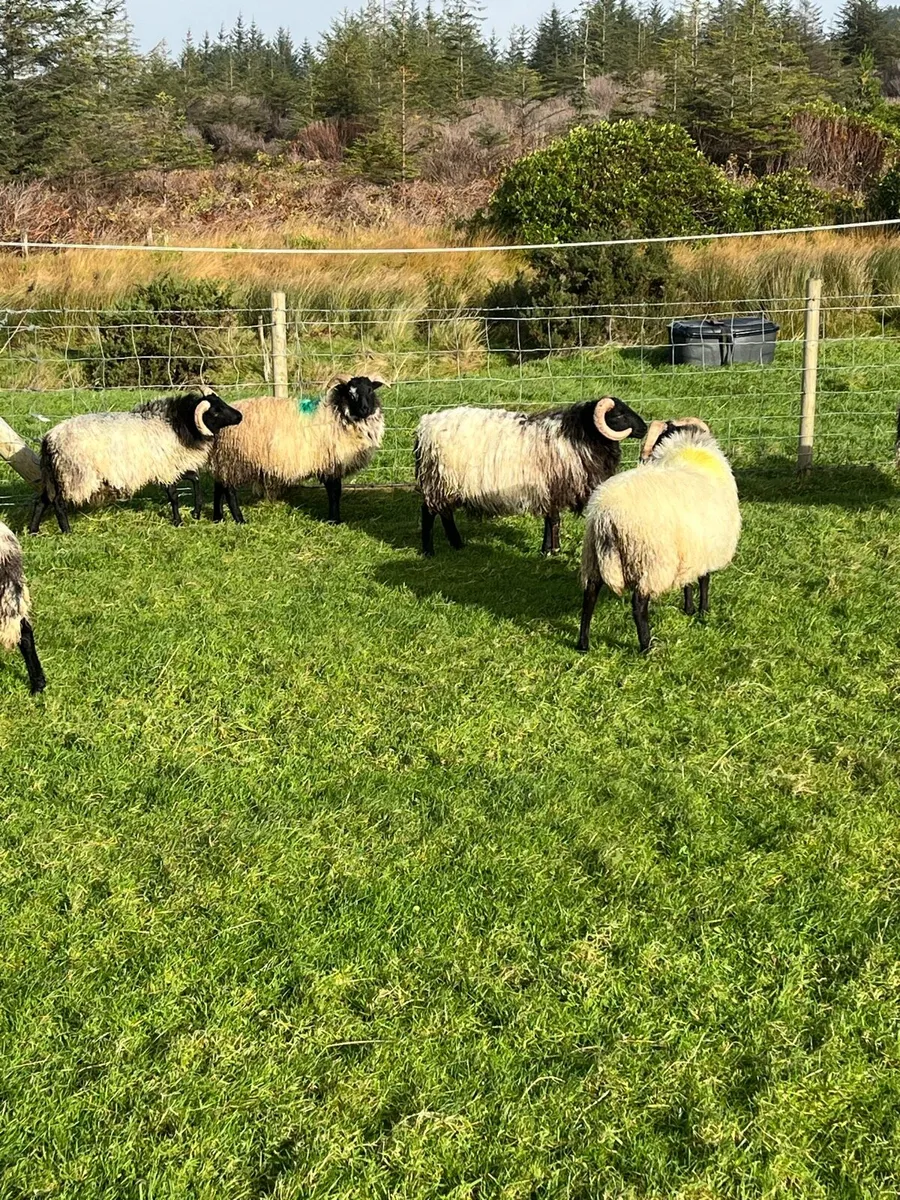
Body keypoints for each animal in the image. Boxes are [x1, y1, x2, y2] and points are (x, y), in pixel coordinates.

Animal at [29, 391, 243, 533]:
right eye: (216, 411)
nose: (240, 416)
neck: (180, 422)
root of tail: (49, 439)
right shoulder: (165, 468)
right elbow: (174, 496)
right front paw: (178, 521)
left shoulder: (171, 466)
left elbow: (195, 479)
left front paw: (196, 512)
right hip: (75, 475)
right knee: (58, 503)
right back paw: (67, 531)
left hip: (56, 476)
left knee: (42, 501)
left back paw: (33, 530)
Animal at [208, 374, 386, 525]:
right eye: (350, 393)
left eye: (370, 390)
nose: (365, 409)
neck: (337, 414)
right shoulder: (330, 463)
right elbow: (335, 492)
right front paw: (334, 520)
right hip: (234, 458)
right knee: (229, 490)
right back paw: (240, 520)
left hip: (223, 458)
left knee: (218, 486)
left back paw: (218, 517)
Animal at [414, 396, 648, 557]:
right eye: (618, 415)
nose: (645, 428)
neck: (582, 435)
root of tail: (425, 426)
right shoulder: (551, 486)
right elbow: (553, 519)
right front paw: (550, 551)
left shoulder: (548, 488)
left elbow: (551, 518)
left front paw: (550, 549)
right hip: (437, 479)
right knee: (429, 512)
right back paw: (428, 551)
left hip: (445, 483)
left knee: (445, 513)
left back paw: (457, 544)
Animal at [577, 417, 741, 654]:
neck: (689, 450)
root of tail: (606, 515)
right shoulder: (705, 548)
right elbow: (704, 580)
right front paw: (703, 611)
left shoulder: (689, 548)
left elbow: (688, 581)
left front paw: (689, 609)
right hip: (651, 560)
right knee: (638, 603)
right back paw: (646, 646)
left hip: (593, 556)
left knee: (589, 594)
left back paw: (583, 643)